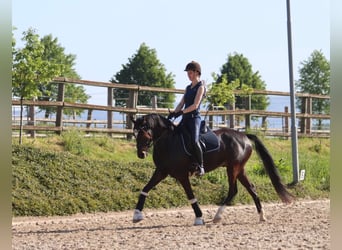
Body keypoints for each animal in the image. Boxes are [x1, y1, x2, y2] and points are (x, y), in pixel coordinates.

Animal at [132, 113, 292, 225]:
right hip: (240, 169)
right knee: (251, 188)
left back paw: (217, 216)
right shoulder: (161, 171)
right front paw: (136, 214)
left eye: (144, 134)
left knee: (233, 190)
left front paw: (199, 217)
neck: (168, 141)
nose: (141, 154)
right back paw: (262, 216)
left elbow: (190, 196)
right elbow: (145, 189)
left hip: (233, 168)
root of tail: (244, 136)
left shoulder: (182, 175)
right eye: (134, 134)